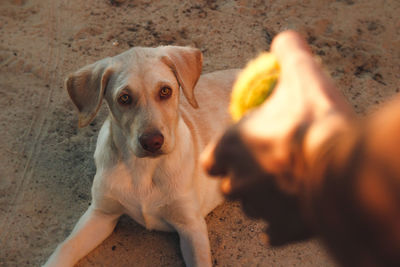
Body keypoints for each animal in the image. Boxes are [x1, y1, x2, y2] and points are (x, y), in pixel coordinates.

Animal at [44, 45, 238, 266]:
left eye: (165, 91)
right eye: (124, 98)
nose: (152, 142)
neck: (143, 169)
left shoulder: (192, 225)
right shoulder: (101, 213)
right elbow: (66, 247)